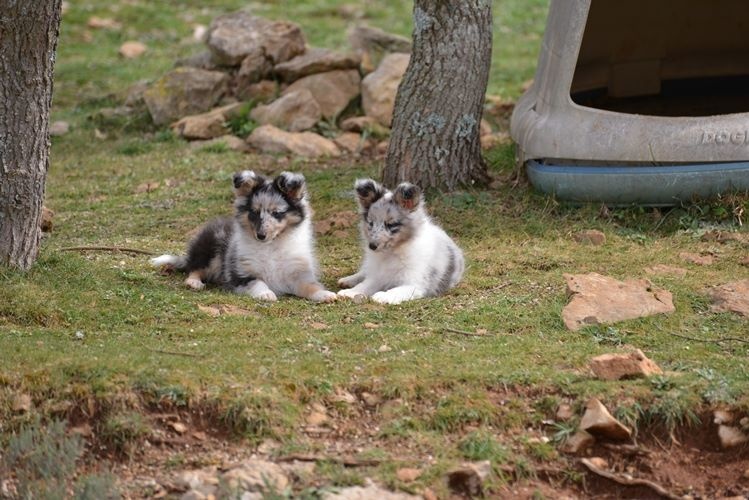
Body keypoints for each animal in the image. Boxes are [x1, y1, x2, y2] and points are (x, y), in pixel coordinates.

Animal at [150, 172, 334, 302]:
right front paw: (266, 294)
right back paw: (194, 282)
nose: (261, 236)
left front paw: (325, 294)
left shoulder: (299, 274)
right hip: (211, 251)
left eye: (276, 213)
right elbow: (258, 282)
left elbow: (310, 287)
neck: (271, 246)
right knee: (195, 268)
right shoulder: (242, 274)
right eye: (254, 212)